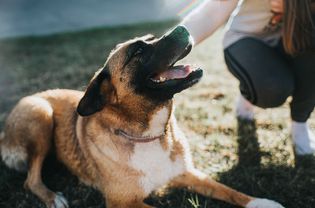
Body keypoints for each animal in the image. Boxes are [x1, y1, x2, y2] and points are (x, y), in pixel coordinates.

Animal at [0, 26, 286, 208]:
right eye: (137, 52)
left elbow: (227, 190)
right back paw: (52, 197)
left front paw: (262, 203)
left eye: (152, 38)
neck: (150, 134)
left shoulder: (187, 173)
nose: (182, 27)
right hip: (42, 114)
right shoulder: (123, 203)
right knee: (30, 180)